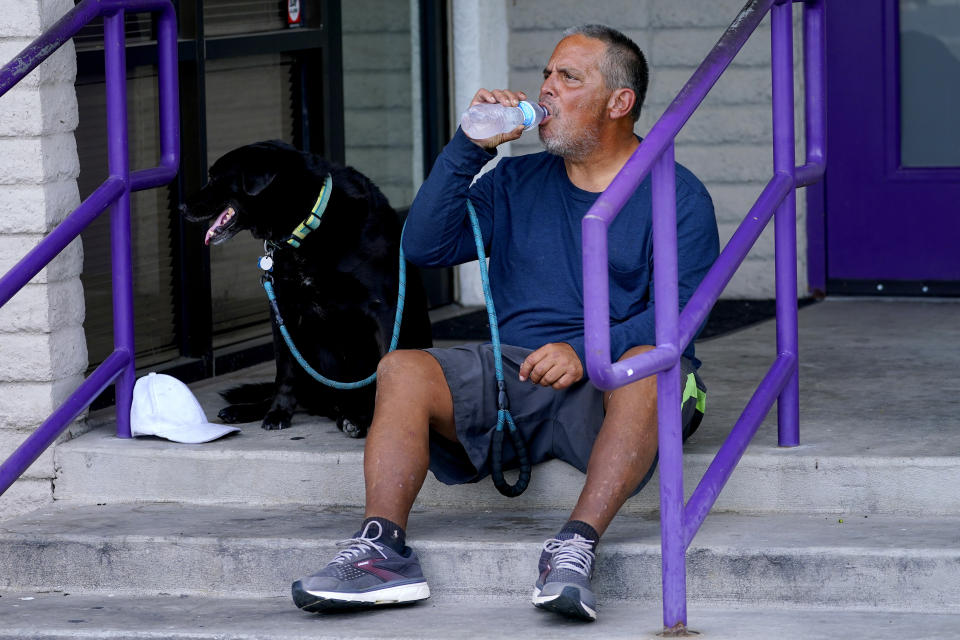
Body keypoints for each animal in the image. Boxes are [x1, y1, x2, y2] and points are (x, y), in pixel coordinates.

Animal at [179, 141, 432, 438]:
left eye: (214, 177)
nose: (181, 207)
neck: (308, 223)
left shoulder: (386, 309)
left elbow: (387, 366)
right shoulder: (282, 310)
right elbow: (285, 371)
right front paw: (278, 413)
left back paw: (355, 417)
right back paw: (247, 409)